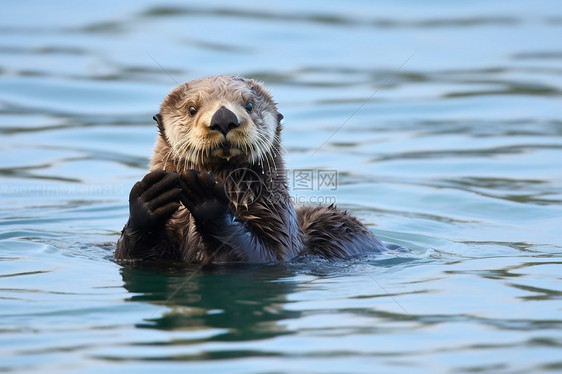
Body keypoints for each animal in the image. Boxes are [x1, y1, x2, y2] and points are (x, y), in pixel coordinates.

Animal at [114, 75, 384, 262]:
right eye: (192, 109)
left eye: (250, 105)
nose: (223, 118)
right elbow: (130, 254)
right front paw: (148, 199)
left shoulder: (280, 238)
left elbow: (259, 254)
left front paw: (208, 198)